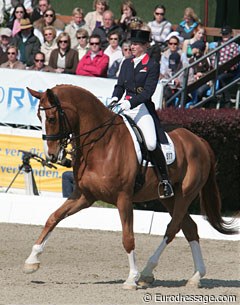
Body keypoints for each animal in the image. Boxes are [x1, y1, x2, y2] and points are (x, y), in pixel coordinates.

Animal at [23, 84, 236, 288]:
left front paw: (131, 279)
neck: (102, 143)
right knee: (190, 228)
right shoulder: (85, 195)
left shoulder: (123, 198)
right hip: (168, 197)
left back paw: (146, 272)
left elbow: (128, 238)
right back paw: (195, 277)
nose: (51, 155)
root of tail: (199, 141)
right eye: (39, 117)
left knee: (172, 228)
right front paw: (31, 261)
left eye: (51, 118)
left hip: (185, 195)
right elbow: (53, 218)